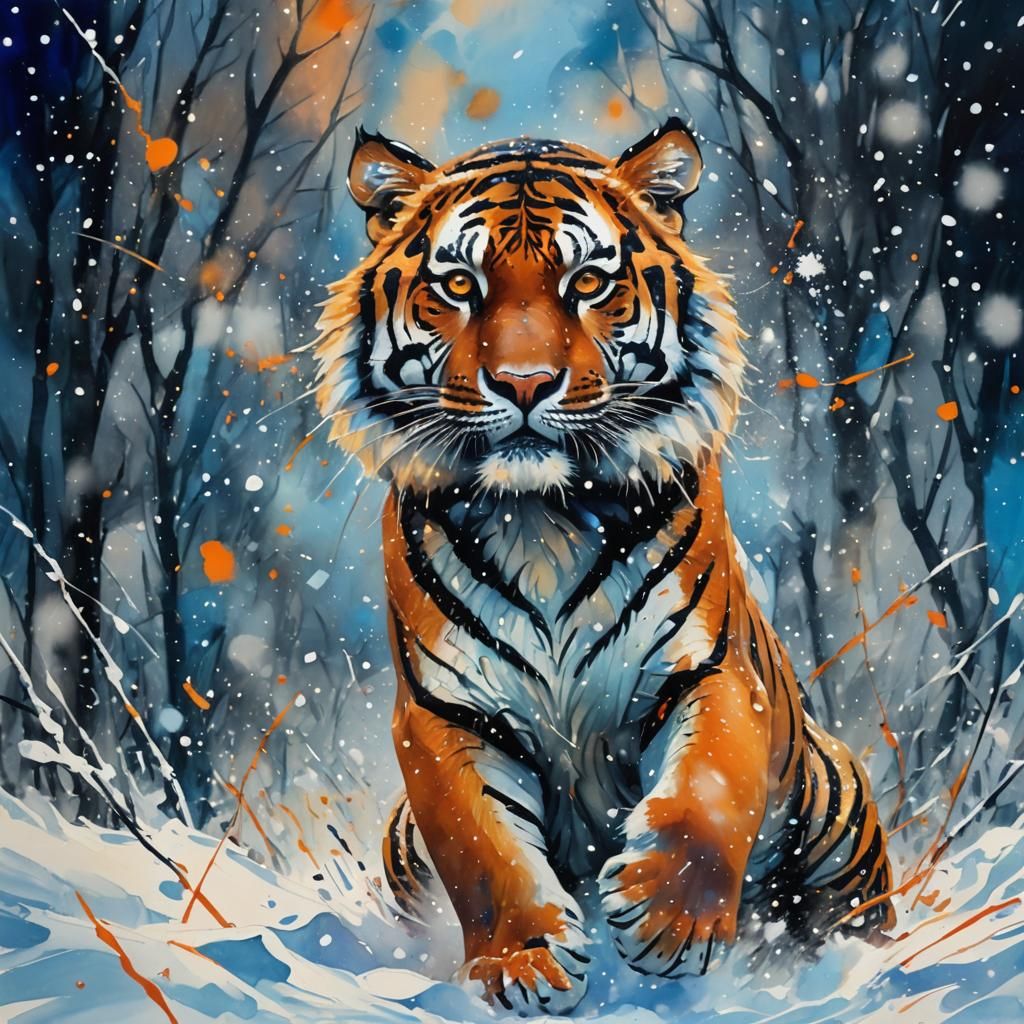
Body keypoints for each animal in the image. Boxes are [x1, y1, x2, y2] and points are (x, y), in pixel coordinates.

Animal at [313, 120, 894, 1015]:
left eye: (588, 281)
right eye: (458, 284)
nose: (523, 384)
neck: (541, 518)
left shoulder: (711, 669)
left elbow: (707, 792)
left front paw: (667, 921)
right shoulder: (446, 715)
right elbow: (483, 851)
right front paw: (523, 964)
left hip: (836, 799)